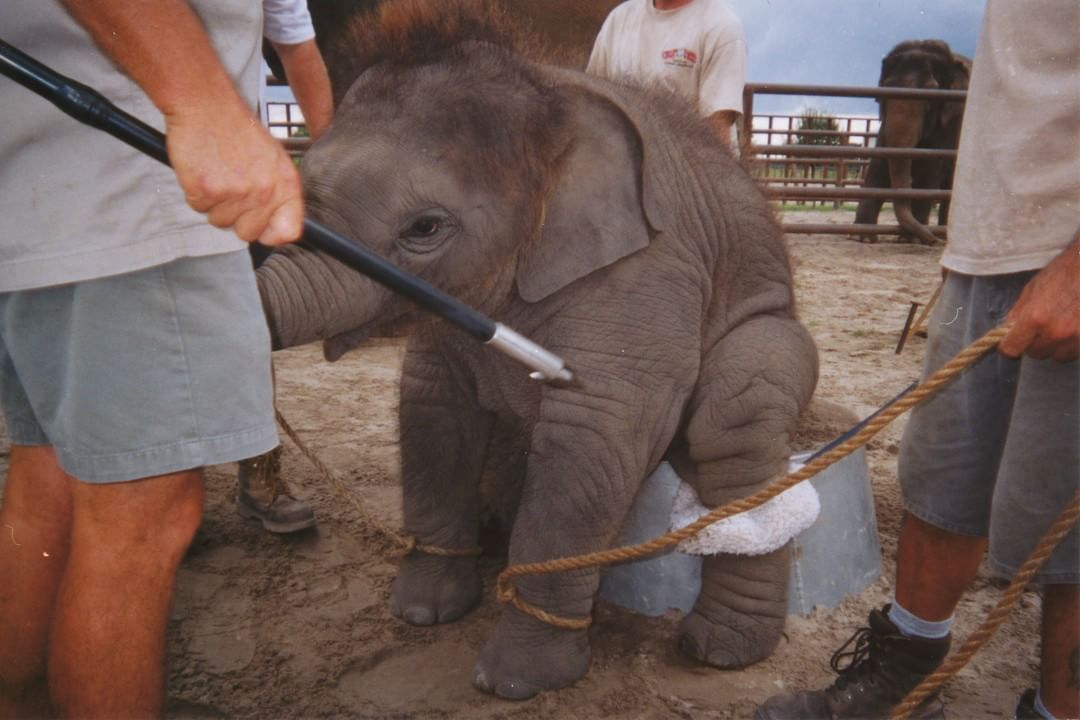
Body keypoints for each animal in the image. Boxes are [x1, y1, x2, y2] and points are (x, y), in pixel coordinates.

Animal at [256, 0, 819, 700]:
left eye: (425, 228)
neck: (551, 101)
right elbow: (430, 408)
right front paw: (422, 613)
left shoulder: (650, 269)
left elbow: (594, 436)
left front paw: (515, 682)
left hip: (774, 328)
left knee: (737, 416)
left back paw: (720, 650)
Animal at [854, 39, 971, 244]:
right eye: (885, 90)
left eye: (931, 97)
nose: (933, 242)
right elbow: (879, 166)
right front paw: (862, 237)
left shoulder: (951, 122)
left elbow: (929, 170)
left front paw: (910, 240)